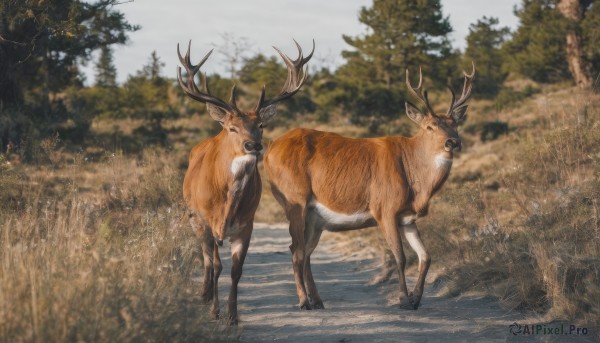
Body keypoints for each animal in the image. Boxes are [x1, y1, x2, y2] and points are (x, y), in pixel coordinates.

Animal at [176, 40, 312, 326]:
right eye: (232, 128)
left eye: (260, 125)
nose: (254, 145)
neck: (226, 202)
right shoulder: (206, 220)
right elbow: (217, 265)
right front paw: (215, 312)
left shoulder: (247, 223)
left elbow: (236, 270)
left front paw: (233, 315)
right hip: (193, 218)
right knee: (206, 259)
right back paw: (204, 296)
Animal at [264, 63, 476, 312]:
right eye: (429, 126)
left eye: (455, 124)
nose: (452, 142)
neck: (415, 178)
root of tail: (269, 148)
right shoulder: (385, 208)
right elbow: (400, 257)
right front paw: (404, 300)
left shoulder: (408, 217)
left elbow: (426, 256)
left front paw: (416, 299)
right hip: (294, 200)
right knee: (296, 251)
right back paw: (304, 301)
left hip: (315, 219)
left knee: (304, 251)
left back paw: (317, 300)